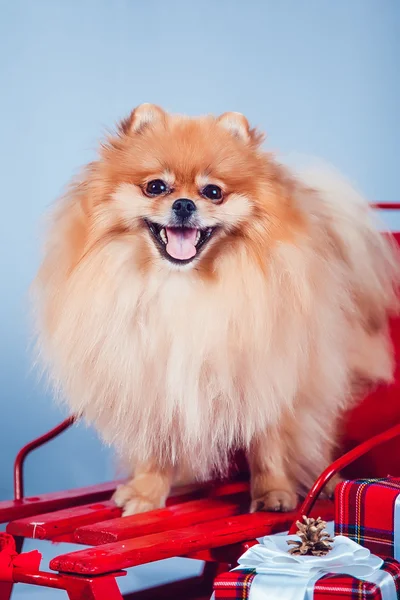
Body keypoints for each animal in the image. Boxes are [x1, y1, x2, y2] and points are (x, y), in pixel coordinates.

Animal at [34, 104, 400, 516]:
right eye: (156, 187)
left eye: (213, 192)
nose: (184, 204)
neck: (184, 284)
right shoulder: (152, 379)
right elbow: (157, 447)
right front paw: (146, 494)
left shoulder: (268, 376)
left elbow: (269, 443)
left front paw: (274, 492)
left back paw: (326, 481)